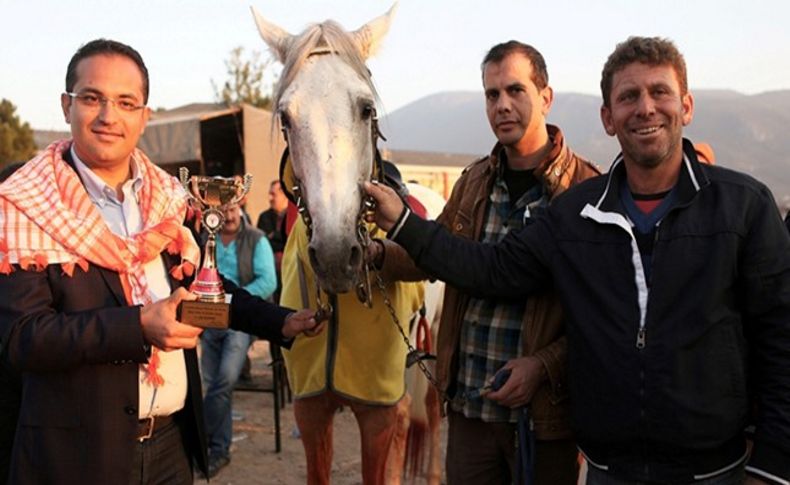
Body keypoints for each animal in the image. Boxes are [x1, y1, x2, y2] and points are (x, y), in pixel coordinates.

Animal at [251, 4, 446, 484]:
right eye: (285, 117)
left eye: (366, 108)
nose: (337, 256)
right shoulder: (311, 412)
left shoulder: (378, 415)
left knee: (430, 411)